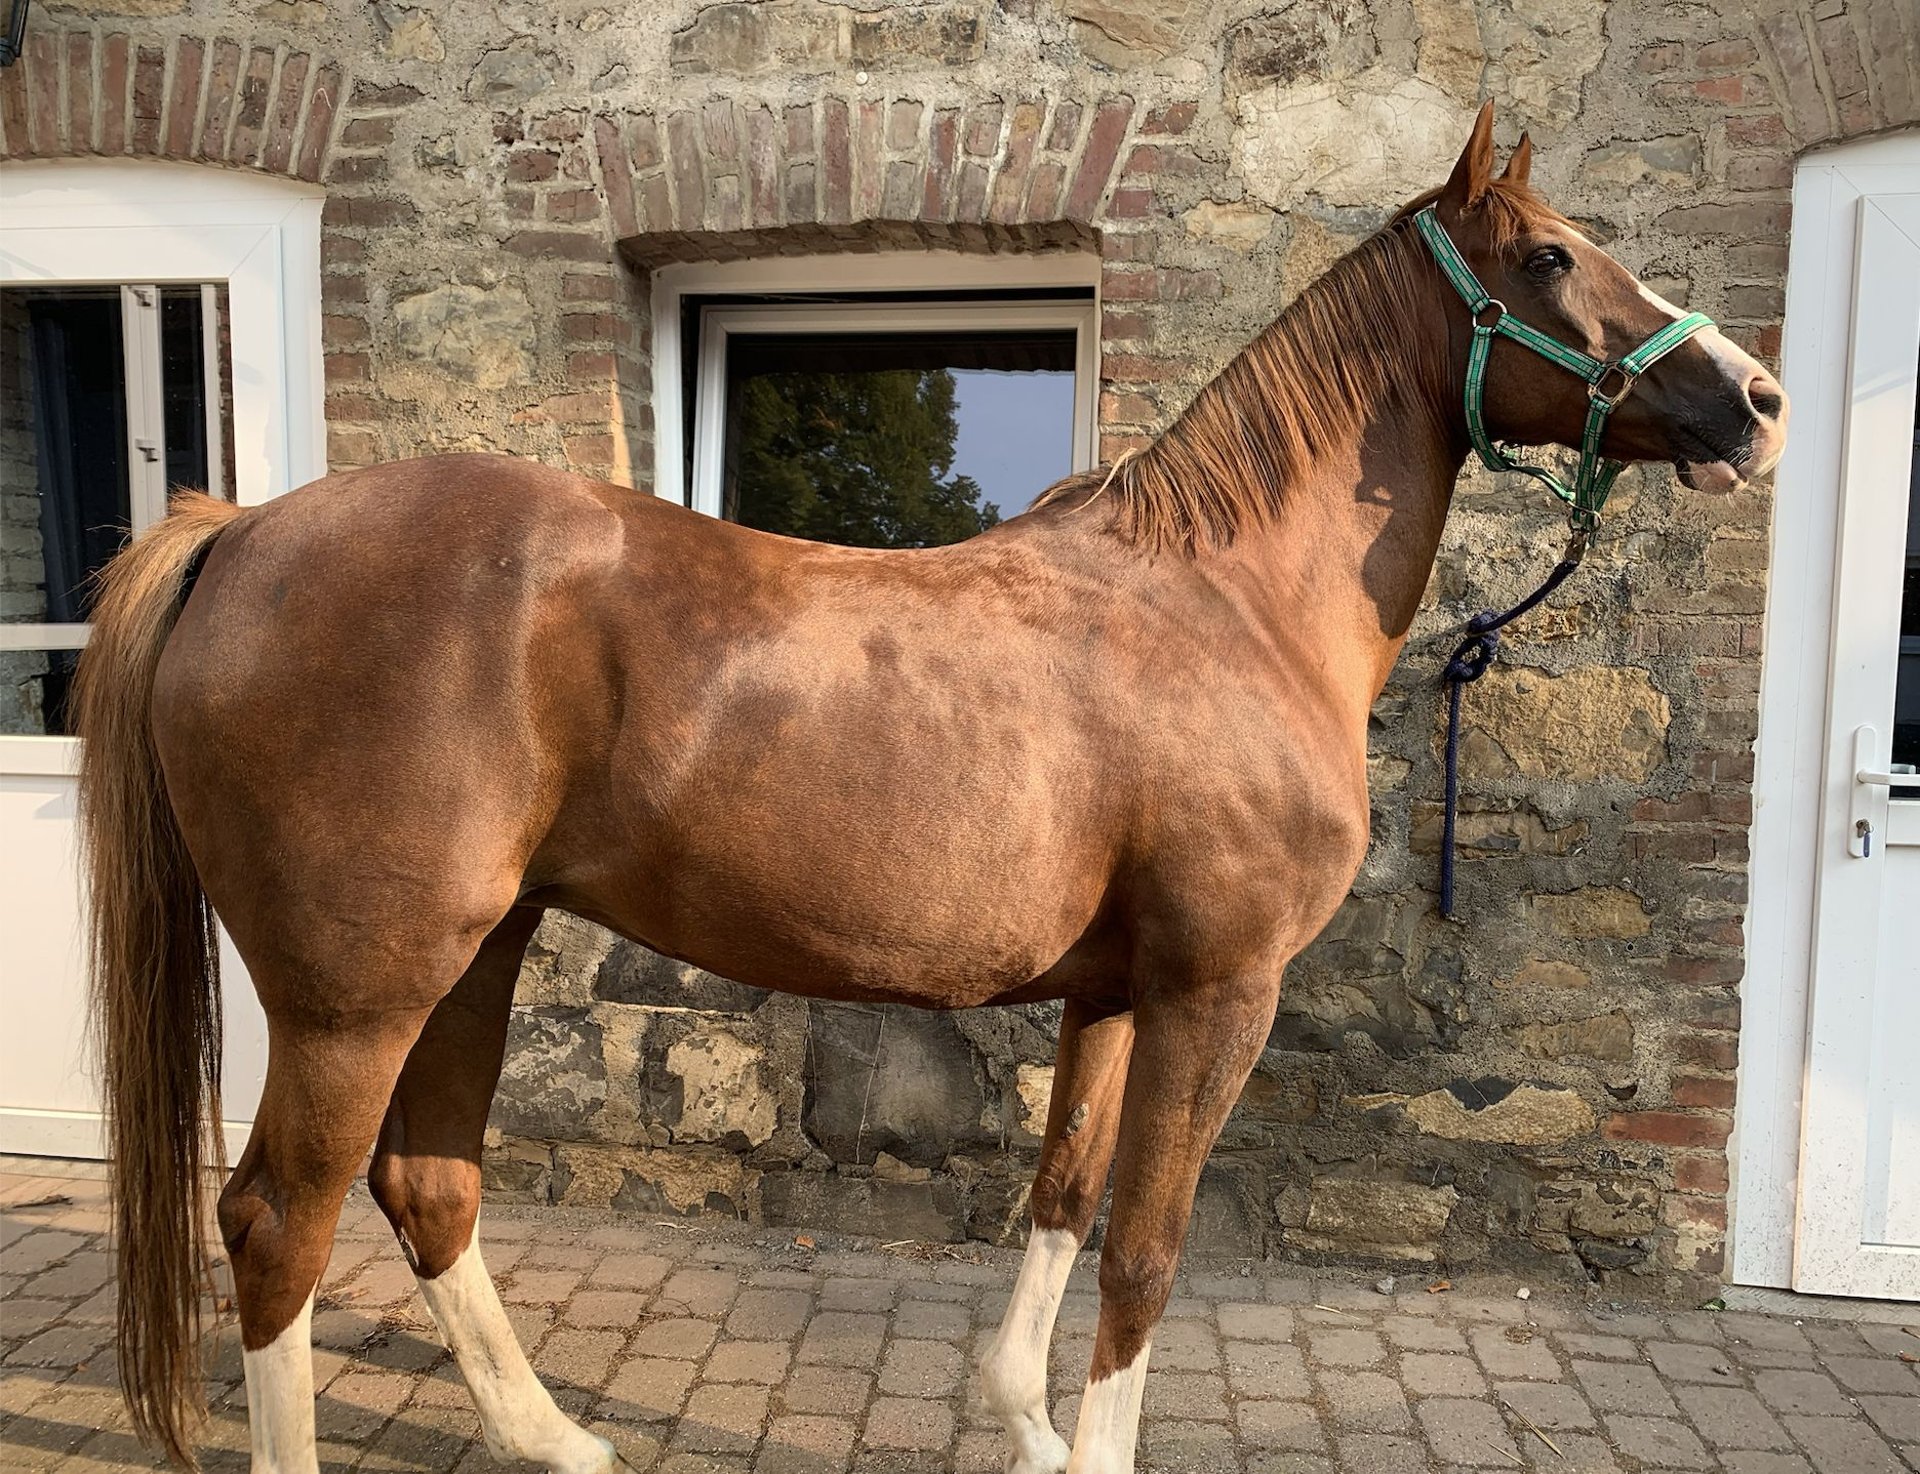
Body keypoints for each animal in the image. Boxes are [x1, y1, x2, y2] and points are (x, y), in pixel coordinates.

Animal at [78, 112, 1781, 1474]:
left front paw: (1024, 1426)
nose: (1753, 400)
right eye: (1552, 256)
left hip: (477, 951)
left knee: (427, 1183)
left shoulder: (1118, 990)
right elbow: (1146, 1248)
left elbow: (1064, 1193)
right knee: (278, 1223)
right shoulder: (1220, 990)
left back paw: (556, 1434)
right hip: (358, 992)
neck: (1229, 603)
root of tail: (244, 531)